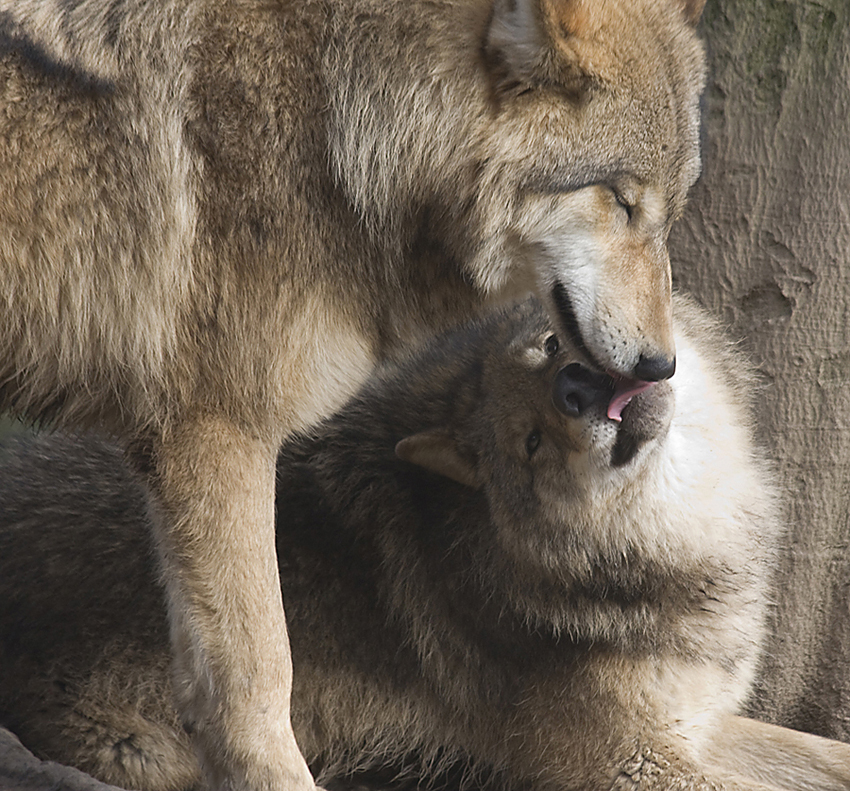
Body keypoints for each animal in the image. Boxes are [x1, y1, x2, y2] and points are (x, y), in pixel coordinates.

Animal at [0, 3, 704, 788]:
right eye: (621, 200)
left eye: (669, 210)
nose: (661, 365)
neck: (339, 135)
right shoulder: (217, 433)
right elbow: (259, 672)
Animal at [1, 298, 848, 791]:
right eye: (531, 443)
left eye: (553, 343)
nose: (576, 386)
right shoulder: (627, 761)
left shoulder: (697, 725)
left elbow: (822, 753)